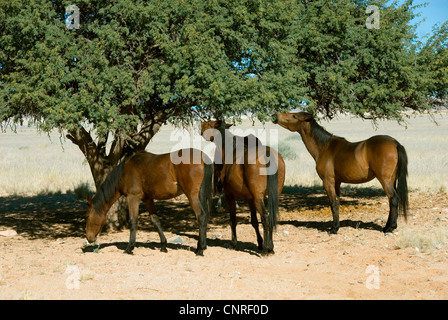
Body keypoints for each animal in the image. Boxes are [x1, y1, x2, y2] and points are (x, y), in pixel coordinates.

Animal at [87, 149, 215, 256]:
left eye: (88, 217)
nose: (89, 238)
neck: (124, 171)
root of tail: (203, 157)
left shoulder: (133, 198)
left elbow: (133, 221)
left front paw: (129, 248)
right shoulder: (148, 199)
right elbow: (155, 220)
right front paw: (163, 246)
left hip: (192, 195)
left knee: (201, 216)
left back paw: (200, 249)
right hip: (200, 195)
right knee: (205, 216)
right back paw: (200, 247)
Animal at [201, 121, 286, 254]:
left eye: (210, 123)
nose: (201, 126)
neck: (232, 151)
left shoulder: (230, 195)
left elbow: (233, 219)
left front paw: (233, 243)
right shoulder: (250, 198)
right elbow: (254, 221)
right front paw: (259, 242)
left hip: (258, 198)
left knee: (266, 217)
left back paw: (267, 248)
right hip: (272, 196)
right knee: (271, 218)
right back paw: (269, 247)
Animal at [274, 112, 408, 235]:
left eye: (294, 116)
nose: (276, 116)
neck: (324, 148)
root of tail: (395, 143)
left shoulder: (328, 181)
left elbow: (333, 203)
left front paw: (334, 229)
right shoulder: (337, 182)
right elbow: (337, 202)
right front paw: (335, 226)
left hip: (385, 180)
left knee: (393, 198)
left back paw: (390, 228)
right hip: (392, 180)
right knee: (391, 200)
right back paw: (386, 227)